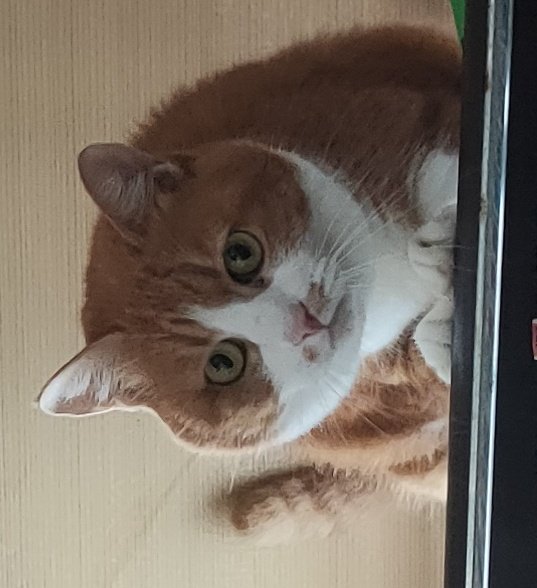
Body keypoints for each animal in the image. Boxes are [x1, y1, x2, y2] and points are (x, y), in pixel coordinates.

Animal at [38, 25, 460, 541]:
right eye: (224, 364)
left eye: (239, 254)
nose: (305, 321)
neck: (386, 277)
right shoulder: (390, 397)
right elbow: (425, 362)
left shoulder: (409, 118)